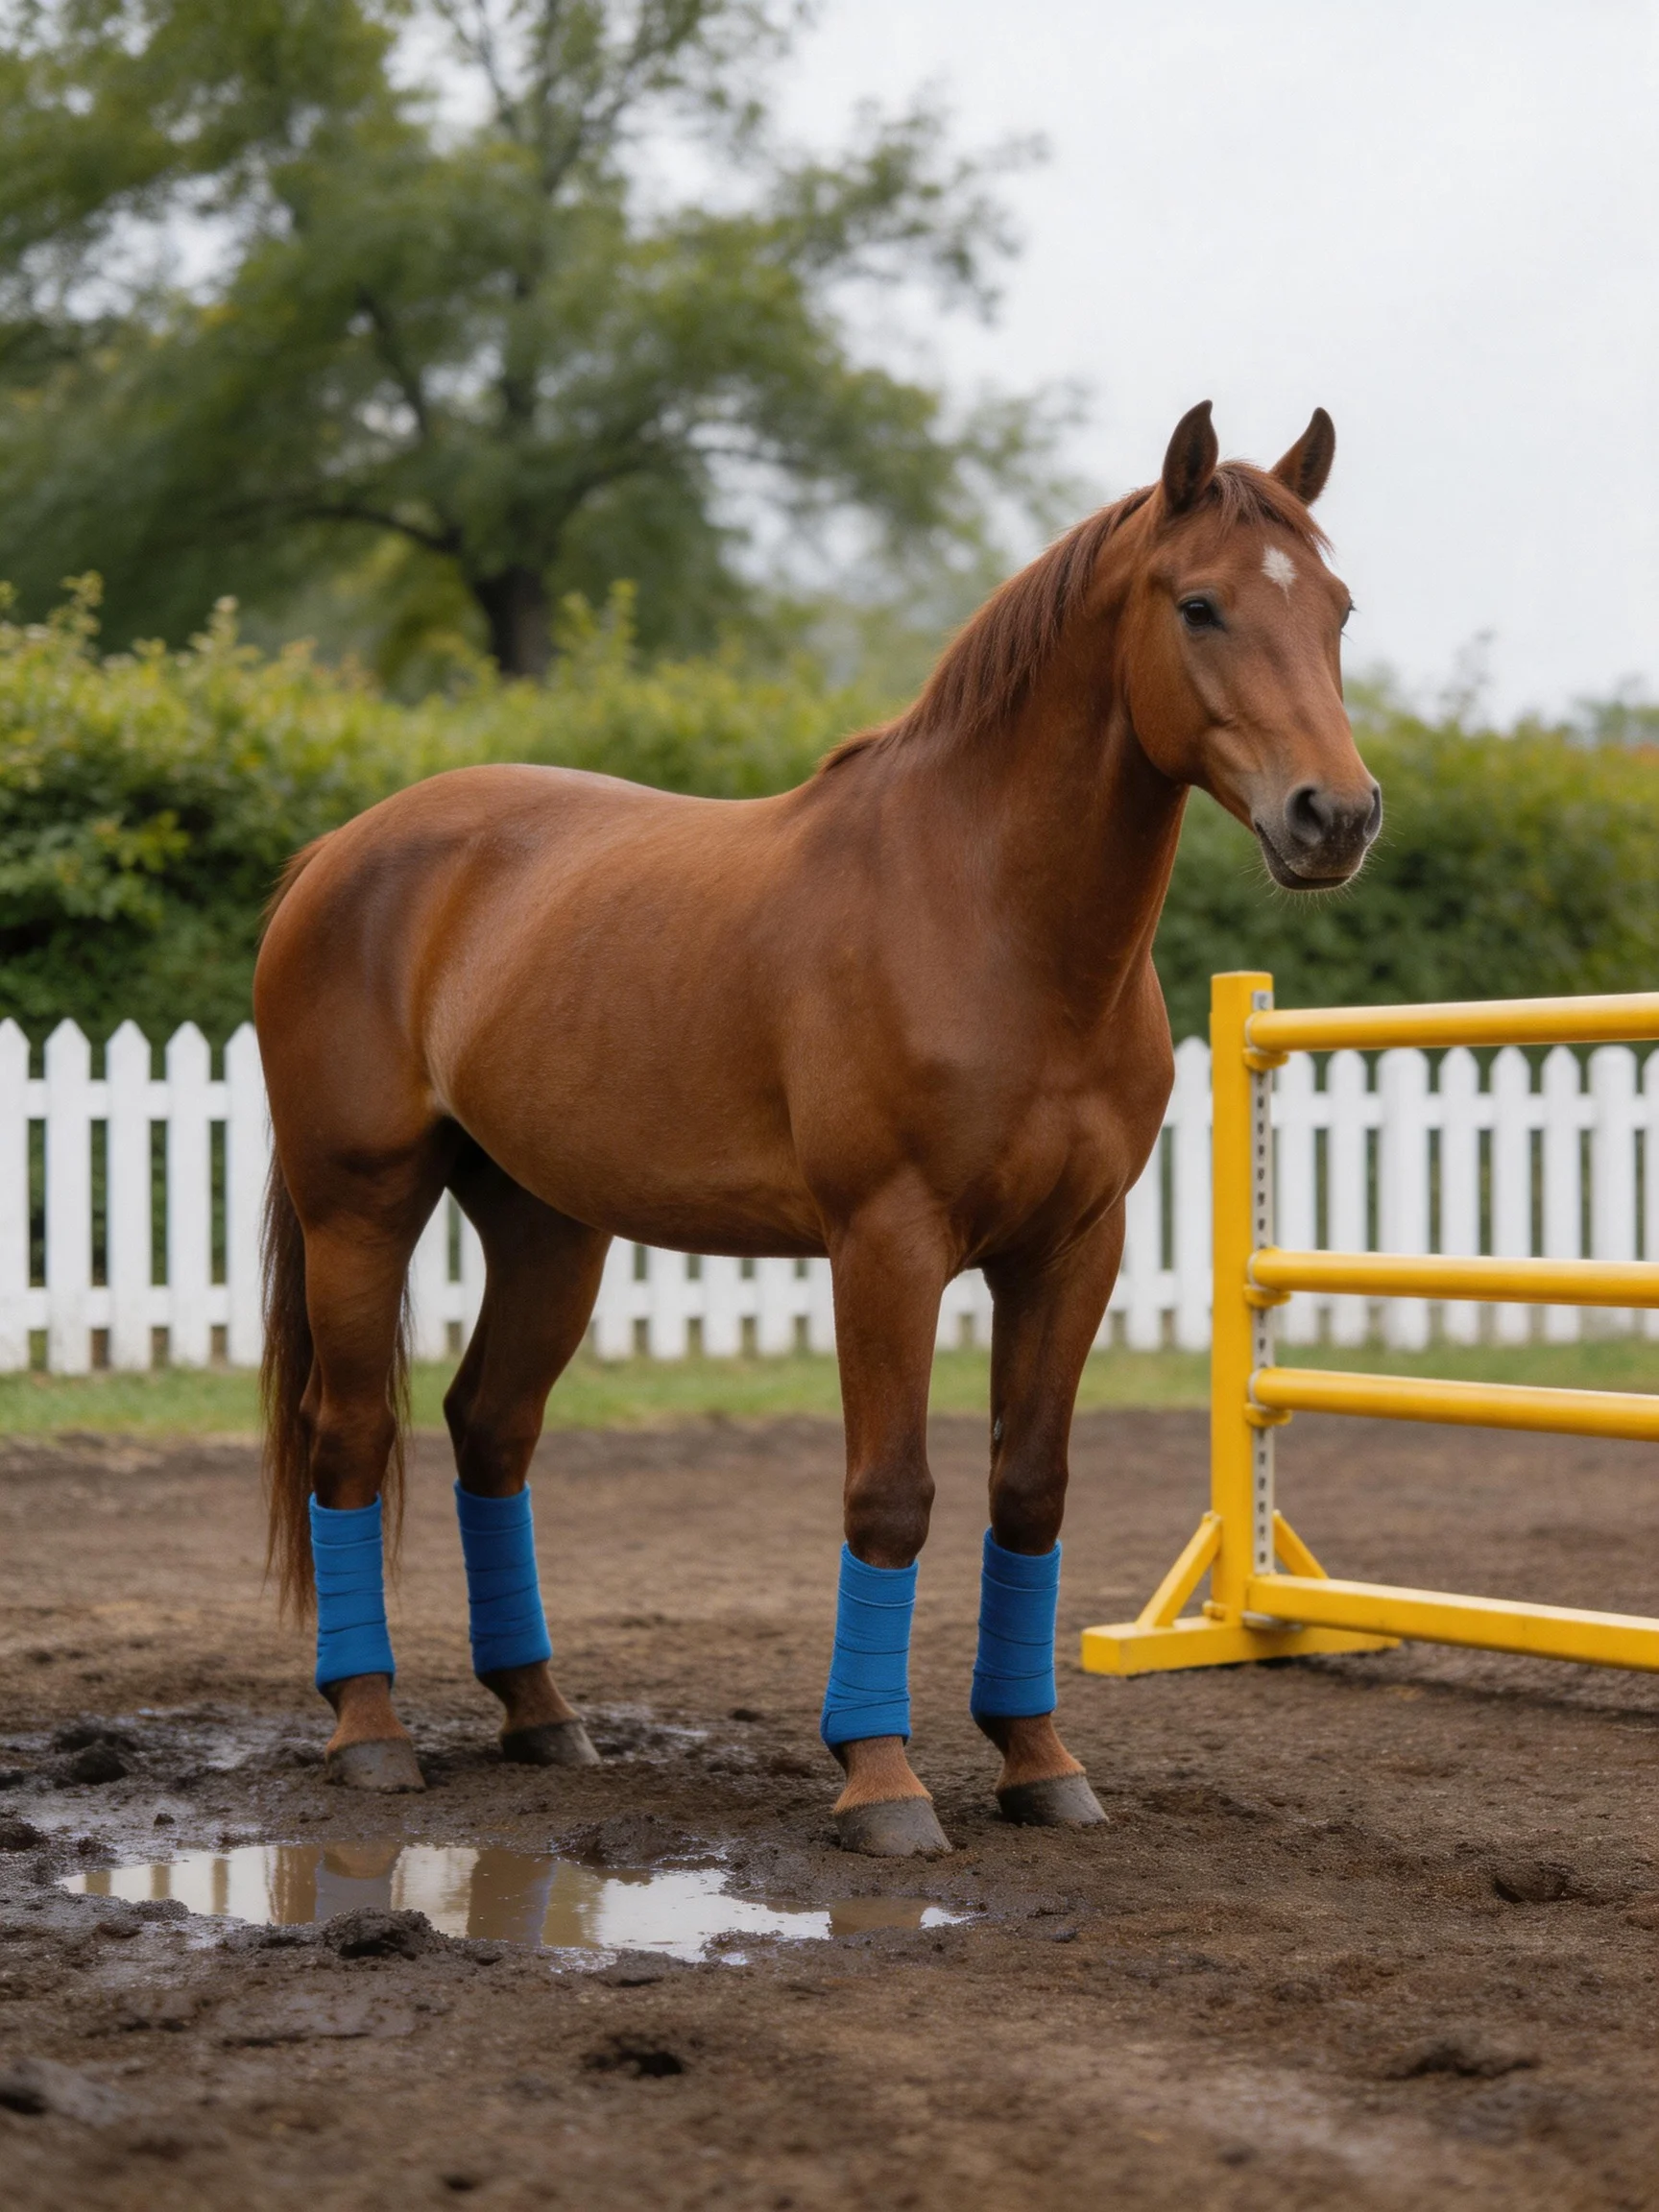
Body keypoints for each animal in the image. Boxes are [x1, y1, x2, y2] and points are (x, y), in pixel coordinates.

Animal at [255, 400, 1379, 1856]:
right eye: (1200, 605)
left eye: (1337, 610)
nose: (1334, 817)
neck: (990, 917)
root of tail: (337, 851)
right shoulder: (886, 1246)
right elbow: (890, 1497)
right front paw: (881, 1780)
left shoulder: (1074, 1248)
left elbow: (1031, 1491)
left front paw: (1038, 1760)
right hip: (361, 1207)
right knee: (348, 1438)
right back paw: (371, 1729)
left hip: (550, 1229)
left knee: (490, 1428)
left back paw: (543, 1715)